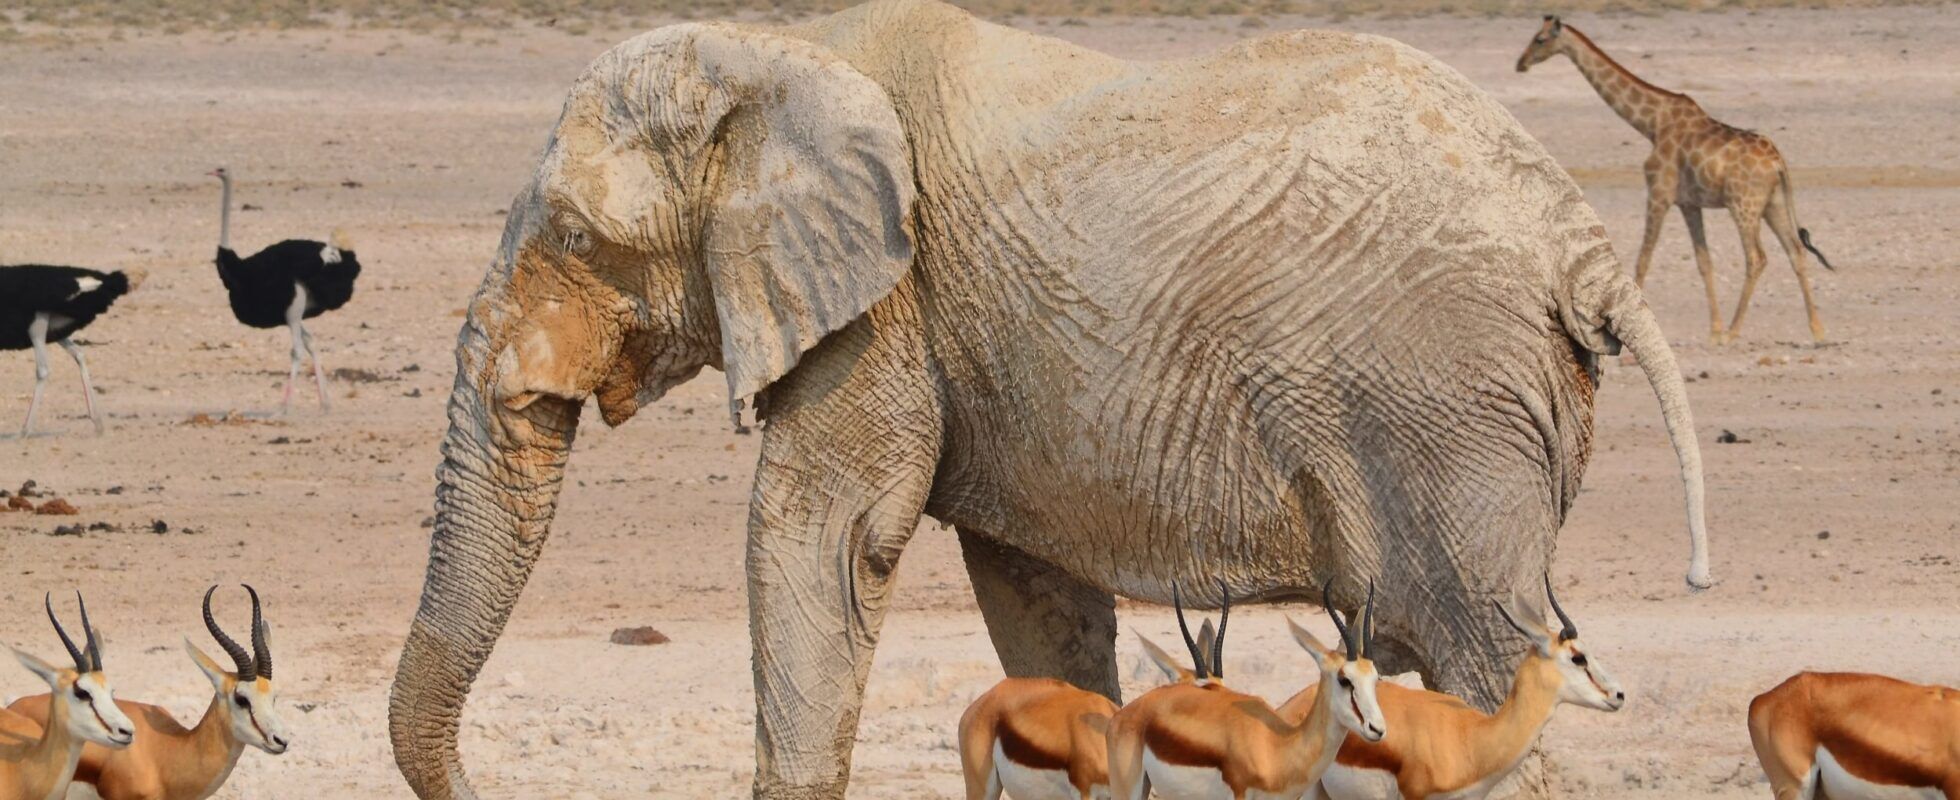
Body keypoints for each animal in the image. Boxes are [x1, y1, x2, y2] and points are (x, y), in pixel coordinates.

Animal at [387, 1, 1712, 797]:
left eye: (575, 235)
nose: (482, 784)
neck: (778, 46)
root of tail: (1584, 249)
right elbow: (1032, 594)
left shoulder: (887, 308)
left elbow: (824, 541)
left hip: (1445, 405)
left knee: (1482, 652)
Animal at [1517, 15, 1834, 344]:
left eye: (1540, 39)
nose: (1521, 63)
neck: (1652, 124)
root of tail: (1779, 163)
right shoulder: (1689, 204)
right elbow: (1704, 262)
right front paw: (1713, 329)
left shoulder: (1658, 193)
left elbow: (1643, 257)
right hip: (1773, 204)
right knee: (1796, 251)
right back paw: (1817, 330)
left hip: (1743, 206)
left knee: (1757, 257)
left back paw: (1735, 331)